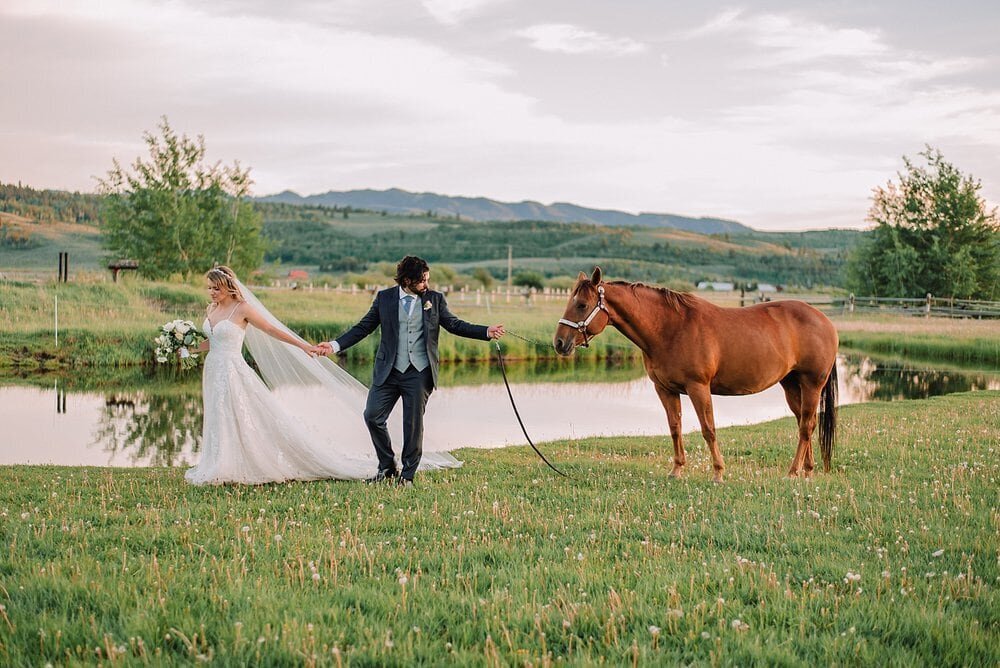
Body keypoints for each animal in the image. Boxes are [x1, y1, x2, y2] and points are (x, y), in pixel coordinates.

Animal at [556, 268, 836, 482]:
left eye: (581, 305)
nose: (559, 343)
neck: (670, 328)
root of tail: (825, 320)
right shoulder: (665, 389)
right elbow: (675, 428)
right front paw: (676, 470)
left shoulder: (698, 387)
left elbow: (708, 429)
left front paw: (718, 473)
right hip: (791, 385)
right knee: (804, 423)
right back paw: (807, 471)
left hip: (812, 384)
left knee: (806, 426)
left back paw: (793, 471)